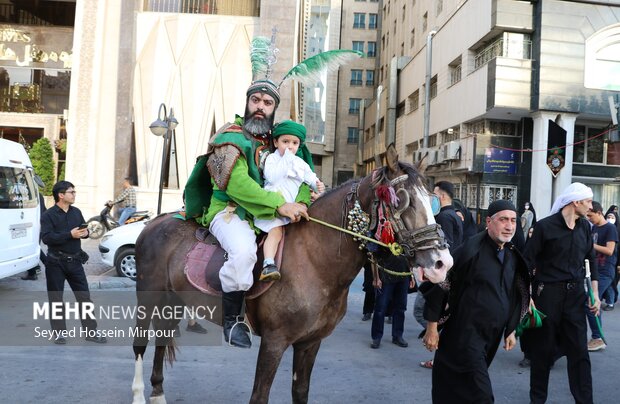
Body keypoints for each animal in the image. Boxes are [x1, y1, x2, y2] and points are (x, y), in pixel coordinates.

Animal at [131, 150, 452, 402]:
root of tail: (153, 223)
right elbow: (259, 395)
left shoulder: (310, 343)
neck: (315, 261)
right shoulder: (274, 342)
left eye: (431, 202)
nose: (442, 263)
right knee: (140, 345)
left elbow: (300, 392)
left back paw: (158, 393)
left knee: (162, 340)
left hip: (173, 301)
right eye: (403, 202)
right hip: (148, 299)